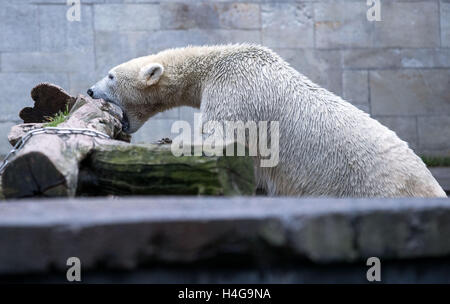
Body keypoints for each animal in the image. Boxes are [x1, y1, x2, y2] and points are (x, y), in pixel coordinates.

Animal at [88, 44, 446, 198]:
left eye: (110, 75)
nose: (90, 90)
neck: (214, 64)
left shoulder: (235, 91)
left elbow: (220, 136)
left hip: (371, 185)